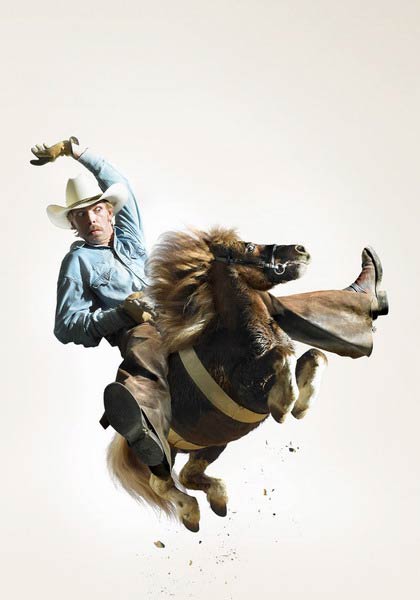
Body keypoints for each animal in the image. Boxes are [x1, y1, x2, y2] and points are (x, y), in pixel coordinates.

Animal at [107, 227, 327, 531]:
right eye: (249, 246)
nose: (301, 250)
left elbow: (315, 355)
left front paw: (301, 405)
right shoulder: (249, 388)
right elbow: (283, 356)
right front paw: (284, 406)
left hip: (211, 445)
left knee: (186, 475)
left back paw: (218, 501)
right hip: (166, 450)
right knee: (162, 483)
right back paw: (191, 513)